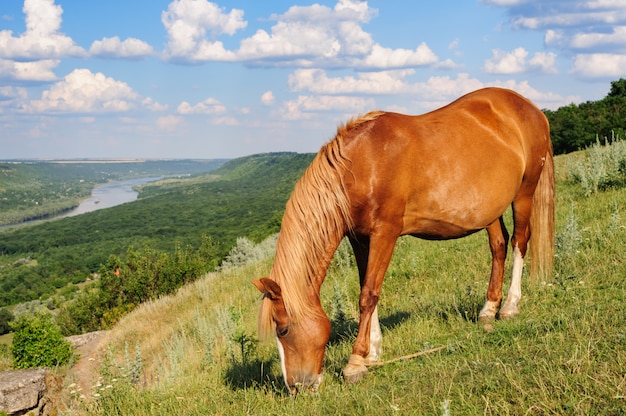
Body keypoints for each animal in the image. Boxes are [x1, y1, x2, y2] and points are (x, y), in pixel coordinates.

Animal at [251, 87, 552, 394]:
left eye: (283, 330)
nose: (296, 387)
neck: (359, 166)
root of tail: (529, 106)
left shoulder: (385, 233)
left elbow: (368, 295)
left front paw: (355, 363)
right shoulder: (360, 238)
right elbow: (368, 289)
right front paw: (373, 351)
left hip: (524, 193)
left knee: (519, 242)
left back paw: (510, 306)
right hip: (490, 209)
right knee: (498, 246)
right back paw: (488, 309)